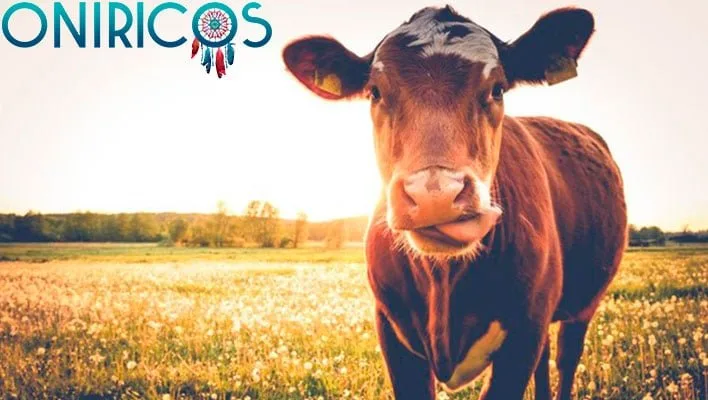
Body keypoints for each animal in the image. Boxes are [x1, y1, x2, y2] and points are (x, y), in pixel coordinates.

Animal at [282, 5, 627, 400]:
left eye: (497, 89)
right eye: (375, 92)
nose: (436, 194)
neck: (443, 280)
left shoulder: (524, 332)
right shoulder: (391, 331)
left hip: (583, 305)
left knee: (567, 358)